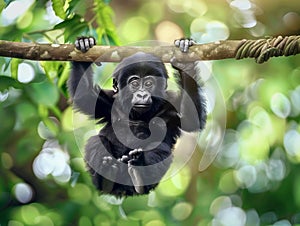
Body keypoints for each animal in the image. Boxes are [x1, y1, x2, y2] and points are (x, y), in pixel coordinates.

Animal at [68, 36, 206, 196]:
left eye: (148, 83)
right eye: (134, 83)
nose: (142, 94)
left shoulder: (170, 105)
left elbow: (190, 118)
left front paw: (184, 62)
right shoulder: (110, 102)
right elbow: (85, 95)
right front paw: (84, 44)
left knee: (158, 147)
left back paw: (138, 175)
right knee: (96, 140)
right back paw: (107, 176)